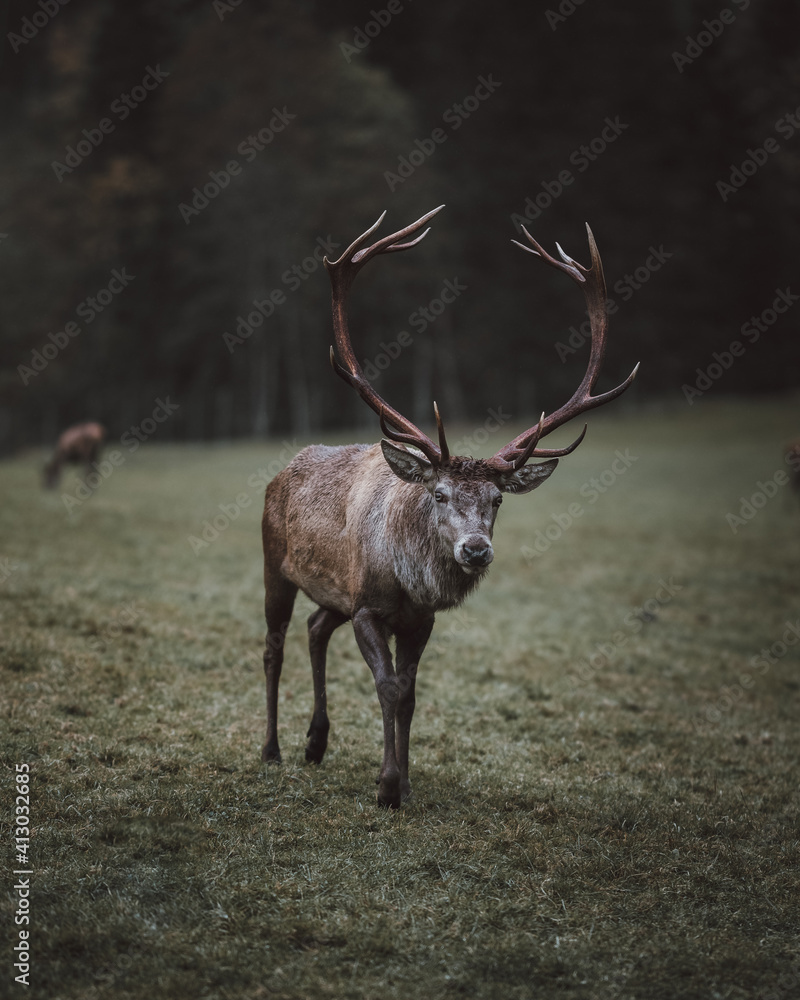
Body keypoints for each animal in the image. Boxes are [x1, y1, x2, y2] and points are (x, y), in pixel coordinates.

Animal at [260, 207, 638, 808]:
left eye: (497, 499)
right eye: (438, 494)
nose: (476, 550)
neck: (408, 585)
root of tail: (282, 471)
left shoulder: (419, 619)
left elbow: (411, 693)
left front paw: (405, 781)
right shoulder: (368, 607)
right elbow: (388, 687)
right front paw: (388, 786)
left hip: (335, 591)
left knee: (317, 627)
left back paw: (316, 743)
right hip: (274, 562)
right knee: (274, 645)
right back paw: (272, 749)